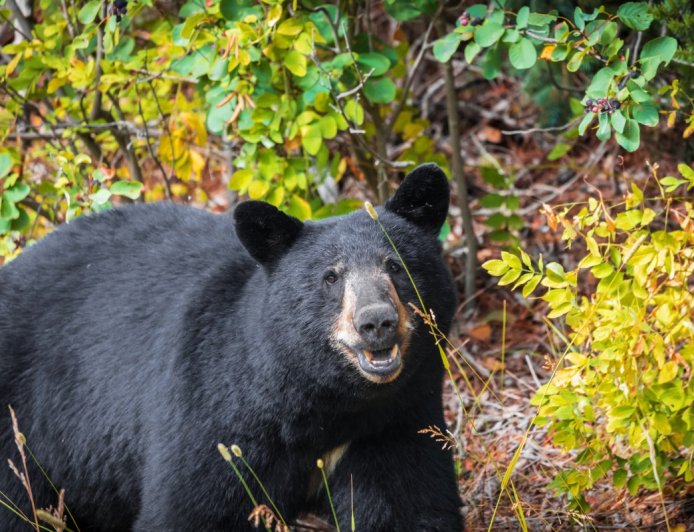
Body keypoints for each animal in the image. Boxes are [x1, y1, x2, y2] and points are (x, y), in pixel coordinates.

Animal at [0, 163, 463, 531]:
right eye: (331, 277)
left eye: (395, 265)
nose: (376, 322)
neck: (325, 407)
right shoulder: (212, 411)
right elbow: (192, 509)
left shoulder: (392, 424)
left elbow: (409, 504)